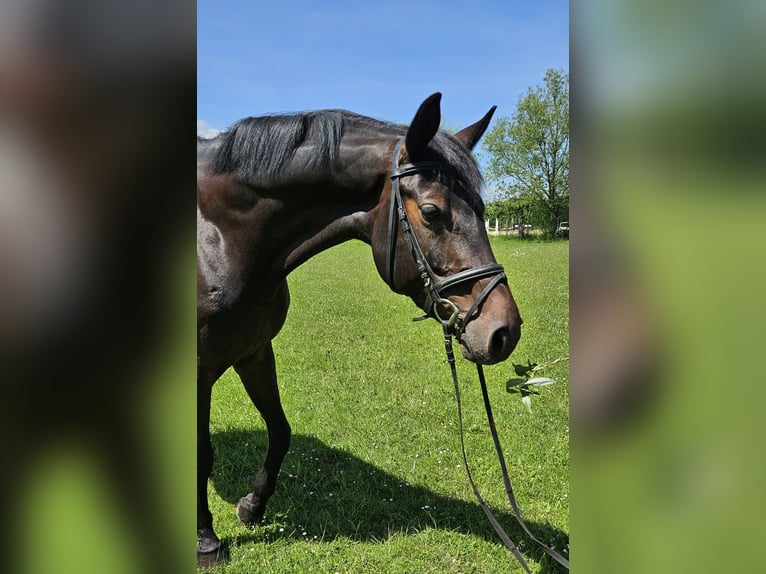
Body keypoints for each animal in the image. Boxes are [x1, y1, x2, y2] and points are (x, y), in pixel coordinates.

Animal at [197, 93, 523, 564]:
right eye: (431, 212)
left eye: (482, 210)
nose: (504, 330)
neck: (221, 235)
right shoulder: (199, 368)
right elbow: (202, 453)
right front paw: (206, 539)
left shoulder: (254, 351)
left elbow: (280, 431)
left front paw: (252, 507)